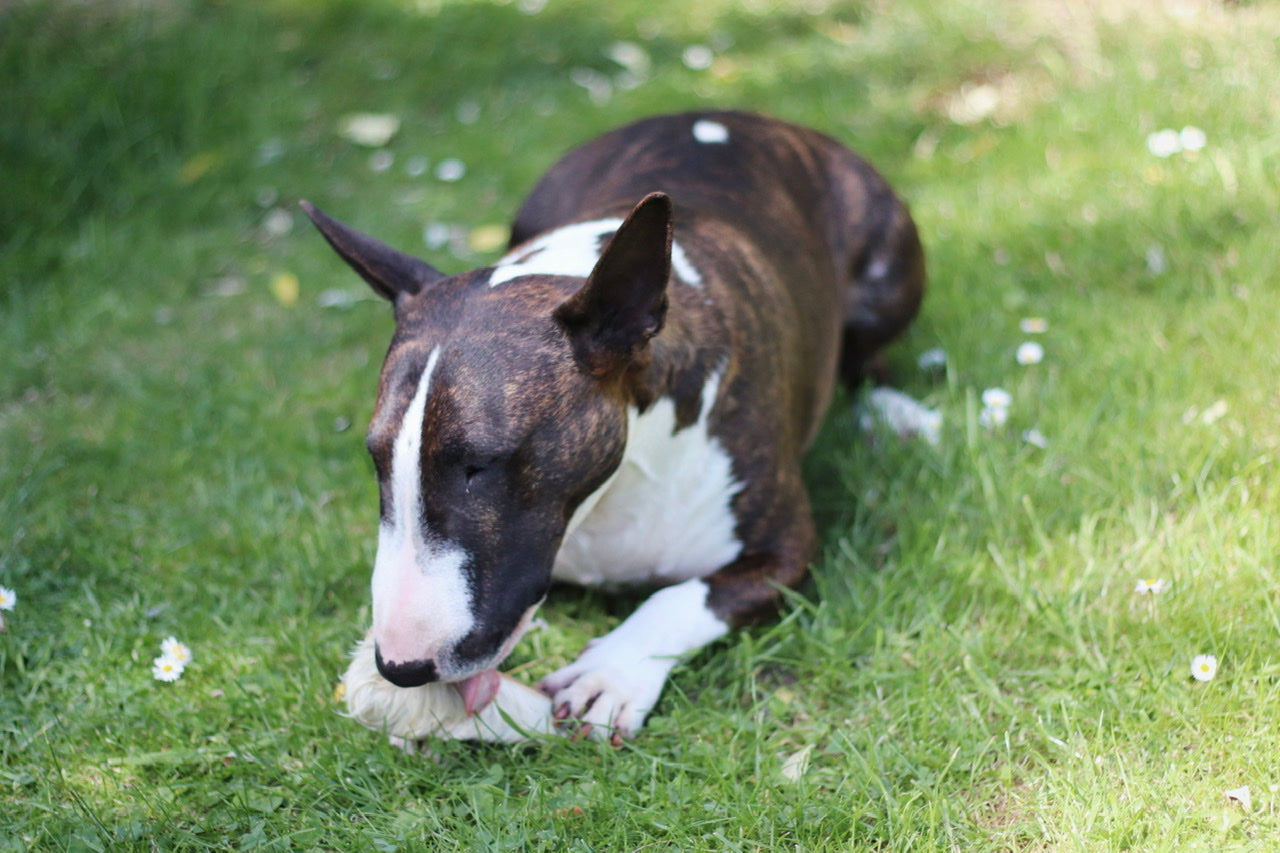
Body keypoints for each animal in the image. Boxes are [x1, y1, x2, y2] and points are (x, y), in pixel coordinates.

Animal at [304, 109, 926, 742]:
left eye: (479, 464)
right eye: (376, 457)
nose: (400, 668)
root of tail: (723, 115)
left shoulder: (787, 550)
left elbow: (680, 597)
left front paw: (610, 675)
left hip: (887, 275)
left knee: (867, 357)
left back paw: (896, 411)